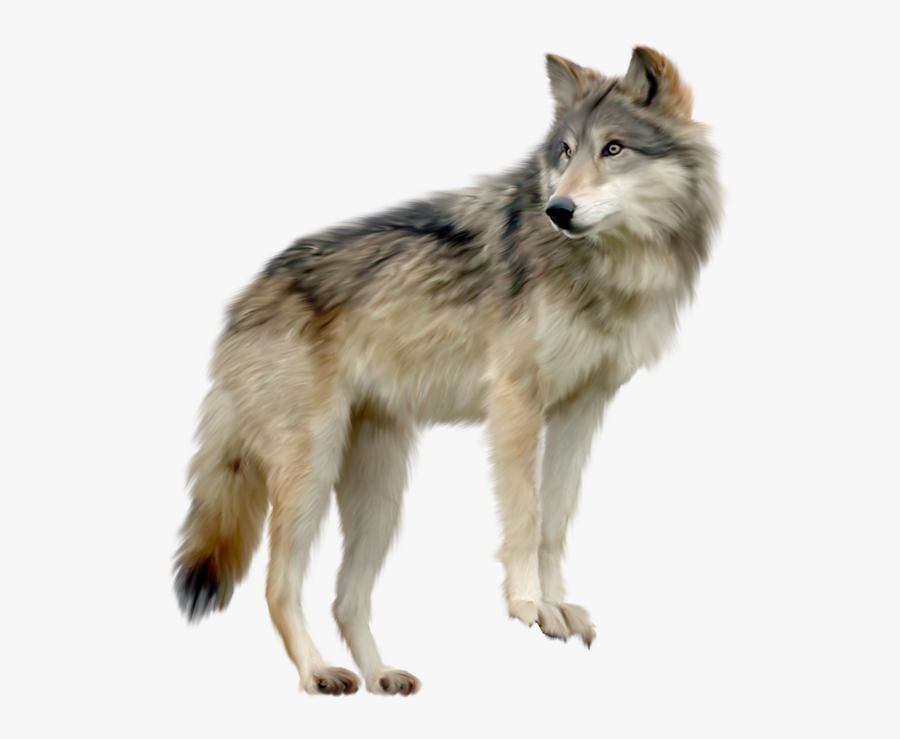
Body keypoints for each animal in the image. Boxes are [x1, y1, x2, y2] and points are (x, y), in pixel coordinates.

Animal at [174, 47, 722, 696]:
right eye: (565, 152)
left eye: (613, 148)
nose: (558, 210)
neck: (610, 267)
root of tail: (246, 297)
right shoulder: (516, 401)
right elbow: (525, 515)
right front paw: (529, 605)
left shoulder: (581, 408)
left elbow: (553, 521)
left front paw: (558, 606)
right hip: (311, 471)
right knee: (278, 584)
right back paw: (318, 674)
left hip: (381, 493)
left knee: (345, 599)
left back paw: (381, 676)